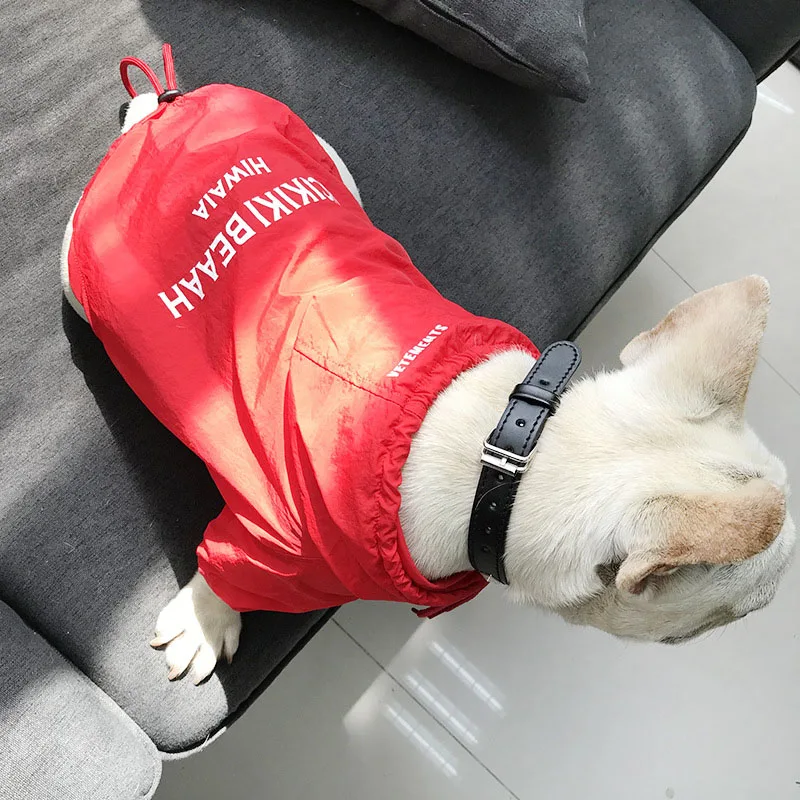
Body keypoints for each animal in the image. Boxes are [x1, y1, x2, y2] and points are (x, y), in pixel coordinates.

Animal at [63, 90, 795, 686]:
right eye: (744, 610)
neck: (511, 453)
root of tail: (167, 106)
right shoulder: (271, 537)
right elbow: (230, 573)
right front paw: (206, 618)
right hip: (81, 272)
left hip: (325, 156)